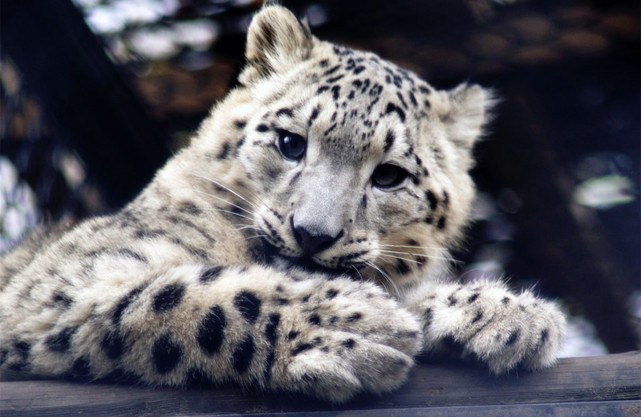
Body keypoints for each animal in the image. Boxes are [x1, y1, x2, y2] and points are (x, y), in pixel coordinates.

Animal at [0, 4, 564, 402]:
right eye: (291, 142)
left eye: (389, 175)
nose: (313, 234)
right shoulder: (62, 285)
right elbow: (182, 296)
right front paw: (350, 324)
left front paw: (509, 315)